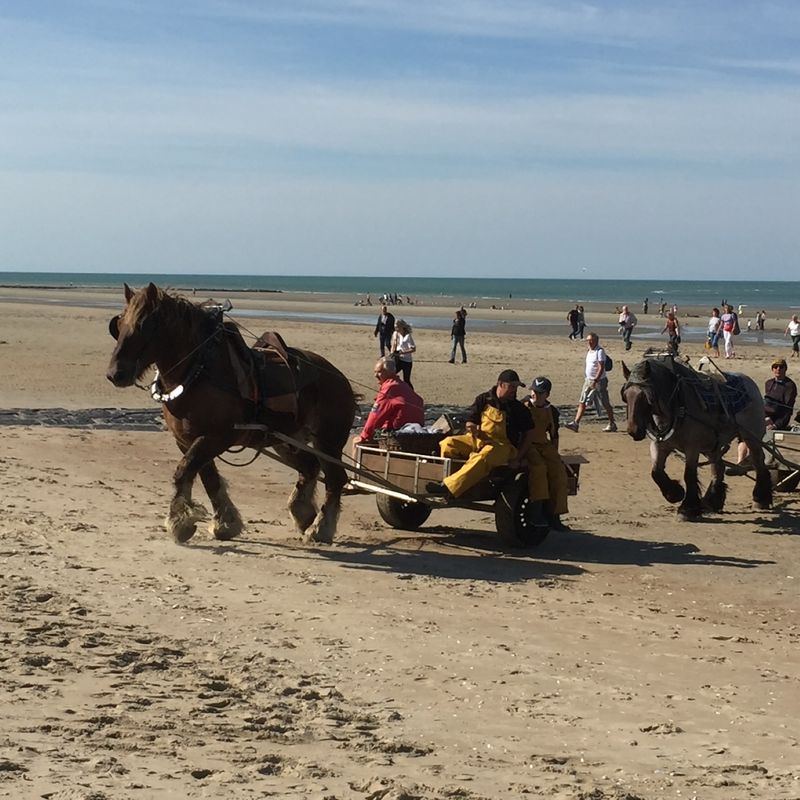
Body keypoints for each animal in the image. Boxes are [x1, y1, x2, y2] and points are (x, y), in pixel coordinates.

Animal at [106, 283, 358, 544]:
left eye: (145, 324)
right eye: (119, 325)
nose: (116, 373)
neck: (199, 369)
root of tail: (338, 377)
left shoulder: (217, 437)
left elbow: (184, 471)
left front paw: (179, 521)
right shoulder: (186, 440)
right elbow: (207, 478)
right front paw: (225, 522)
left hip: (327, 442)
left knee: (335, 479)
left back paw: (321, 527)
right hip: (285, 440)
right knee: (309, 467)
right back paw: (303, 512)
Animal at [620, 355, 772, 519]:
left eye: (646, 397)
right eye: (626, 396)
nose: (633, 431)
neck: (677, 404)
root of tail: (750, 383)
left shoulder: (692, 447)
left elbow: (689, 475)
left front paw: (687, 508)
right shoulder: (659, 445)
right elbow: (656, 472)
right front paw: (675, 494)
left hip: (751, 437)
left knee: (758, 461)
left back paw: (760, 497)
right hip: (713, 444)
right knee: (718, 467)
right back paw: (712, 501)